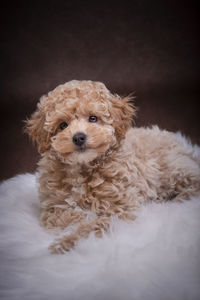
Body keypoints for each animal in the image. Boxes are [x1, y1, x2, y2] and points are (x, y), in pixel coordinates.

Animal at [26, 79, 200, 253]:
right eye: (63, 125)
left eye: (93, 118)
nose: (79, 137)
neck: (84, 168)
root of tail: (183, 146)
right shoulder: (52, 206)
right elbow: (60, 217)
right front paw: (78, 219)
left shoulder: (120, 210)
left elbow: (94, 225)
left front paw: (65, 242)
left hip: (172, 169)